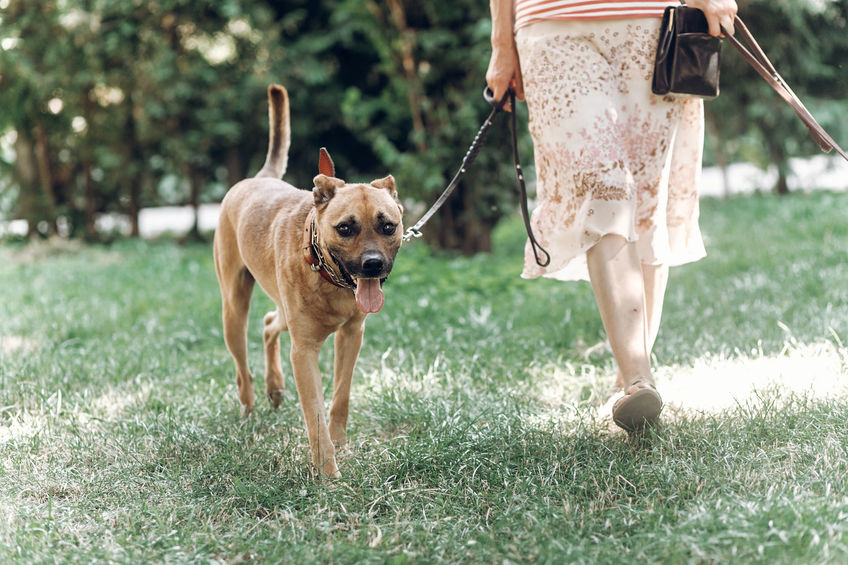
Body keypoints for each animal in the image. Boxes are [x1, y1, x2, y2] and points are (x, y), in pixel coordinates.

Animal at [217, 83, 406, 476]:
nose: (372, 265)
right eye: (345, 228)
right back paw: (249, 405)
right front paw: (329, 476)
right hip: (233, 308)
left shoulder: (352, 336)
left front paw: (340, 442)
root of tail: (259, 179)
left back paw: (275, 387)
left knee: (269, 323)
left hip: (283, 312)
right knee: (242, 364)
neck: (328, 277)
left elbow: (340, 397)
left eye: (387, 226)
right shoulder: (303, 352)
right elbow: (315, 417)